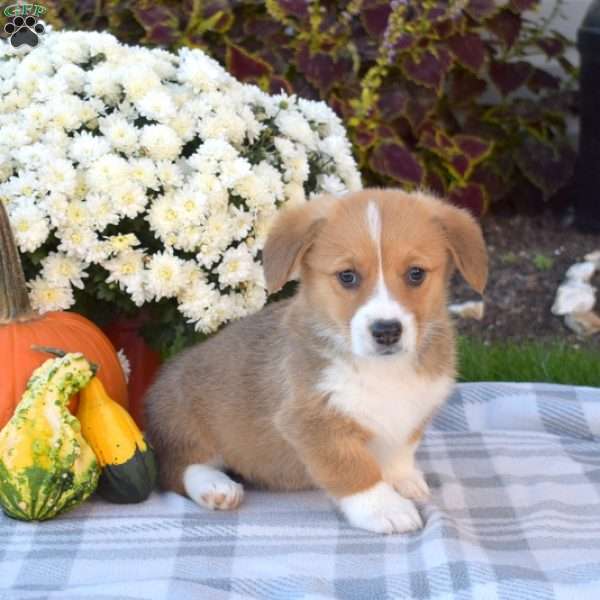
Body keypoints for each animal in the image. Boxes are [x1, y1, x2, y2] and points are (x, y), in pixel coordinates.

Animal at [145, 189, 488, 536]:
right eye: (347, 277)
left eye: (416, 273)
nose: (387, 331)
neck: (382, 370)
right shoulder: (311, 422)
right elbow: (353, 468)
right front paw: (385, 508)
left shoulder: (412, 413)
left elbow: (399, 450)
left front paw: (402, 478)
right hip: (183, 425)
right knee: (177, 469)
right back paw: (216, 487)